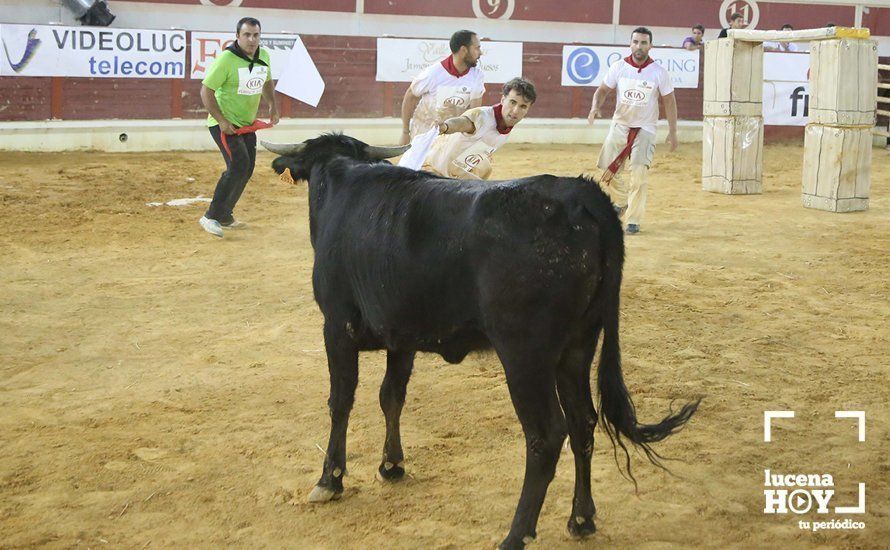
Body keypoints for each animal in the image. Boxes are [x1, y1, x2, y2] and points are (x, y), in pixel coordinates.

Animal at [264, 135, 700, 550]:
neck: (342, 181)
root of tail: (581, 195)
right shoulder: (402, 337)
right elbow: (392, 396)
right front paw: (392, 466)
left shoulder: (336, 327)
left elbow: (340, 401)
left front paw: (330, 480)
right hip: (577, 347)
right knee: (583, 422)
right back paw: (581, 519)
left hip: (525, 357)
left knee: (546, 436)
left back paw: (516, 534)